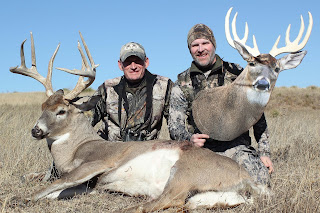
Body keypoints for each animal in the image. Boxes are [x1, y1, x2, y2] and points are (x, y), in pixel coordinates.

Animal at [9, 31, 264, 211]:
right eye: (43, 107)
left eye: (61, 111)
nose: (36, 130)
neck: (76, 149)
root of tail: (247, 179)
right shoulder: (89, 185)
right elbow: (56, 191)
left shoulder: (98, 163)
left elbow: (54, 184)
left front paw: (17, 198)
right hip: (203, 197)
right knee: (180, 203)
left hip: (183, 172)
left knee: (162, 201)